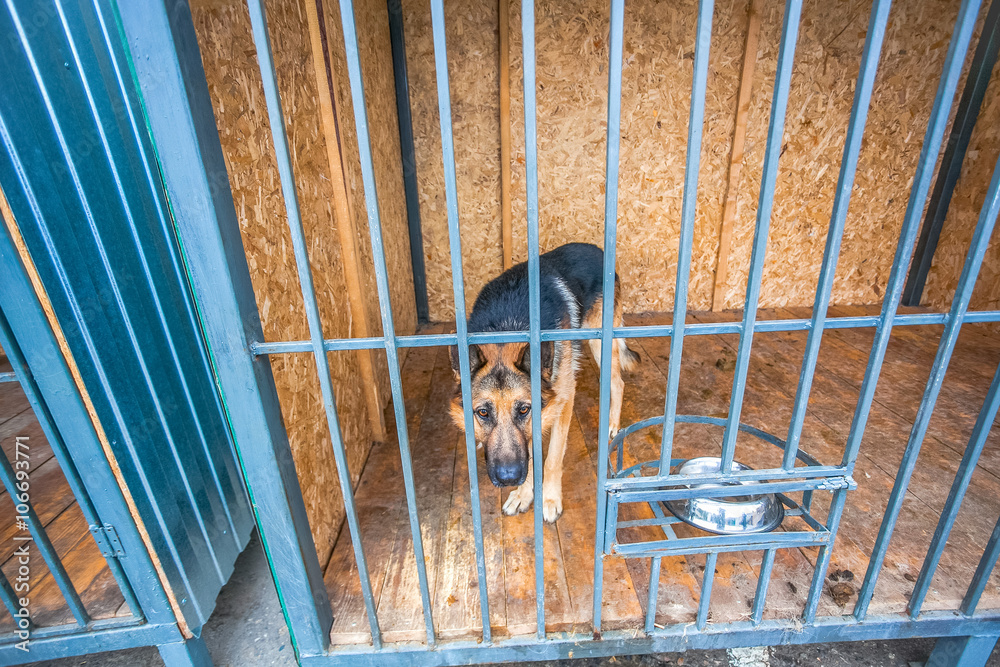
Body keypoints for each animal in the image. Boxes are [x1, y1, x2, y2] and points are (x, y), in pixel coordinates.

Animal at [448, 243, 636, 524]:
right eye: (482, 412)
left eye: (524, 409)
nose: (508, 478)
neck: (508, 326)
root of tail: (597, 248)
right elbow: (529, 455)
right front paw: (523, 493)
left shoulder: (562, 401)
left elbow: (552, 458)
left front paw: (549, 499)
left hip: (599, 343)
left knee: (618, 382)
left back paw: (613, 425)